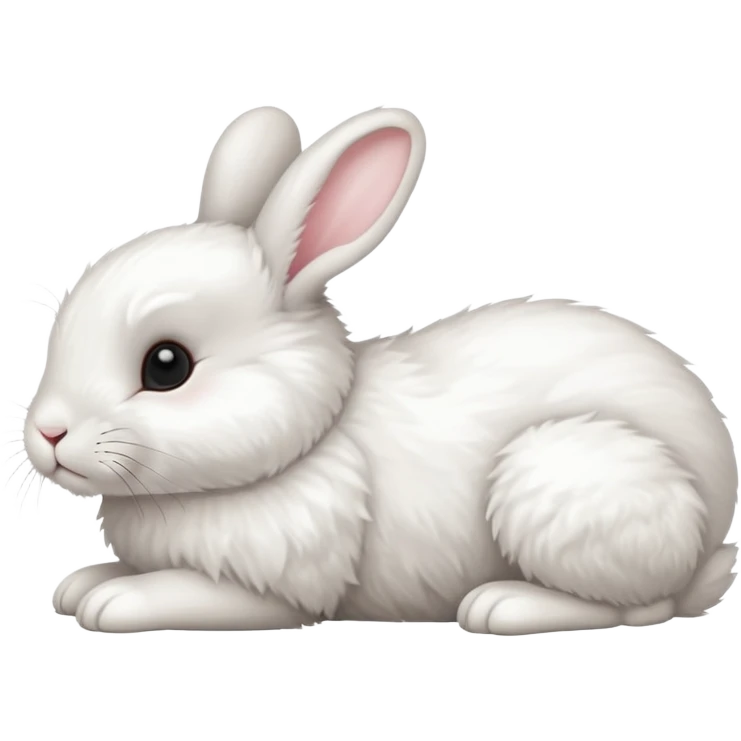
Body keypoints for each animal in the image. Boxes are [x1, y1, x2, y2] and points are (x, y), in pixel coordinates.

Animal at [22, 104, 736, 635]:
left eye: (167, 365)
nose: (49, 435)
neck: (313, 434)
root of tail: (712, 526)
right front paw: (80, 585)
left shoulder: (276, 586)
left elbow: (182, 592)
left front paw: (113, 602)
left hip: (567, 481)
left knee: (641, 605)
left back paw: (502, 604)